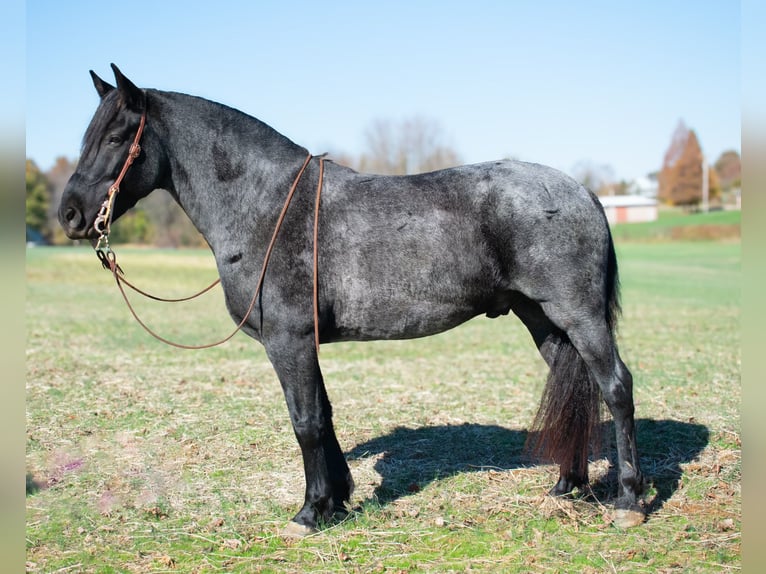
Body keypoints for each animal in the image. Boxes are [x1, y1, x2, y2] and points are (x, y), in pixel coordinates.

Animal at [60, 64, 644, 536]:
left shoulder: (288, 340)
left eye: (116, 137)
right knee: (575, 383)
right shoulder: (303, 342)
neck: (268, 206)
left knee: (616, 387)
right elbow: (324, 414)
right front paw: (336, 501)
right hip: (543, 320)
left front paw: (309, 512)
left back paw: (629, 501)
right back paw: (567, 486)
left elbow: (305, 421)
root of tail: (583, 192)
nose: (69, 214)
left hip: (579, 316)